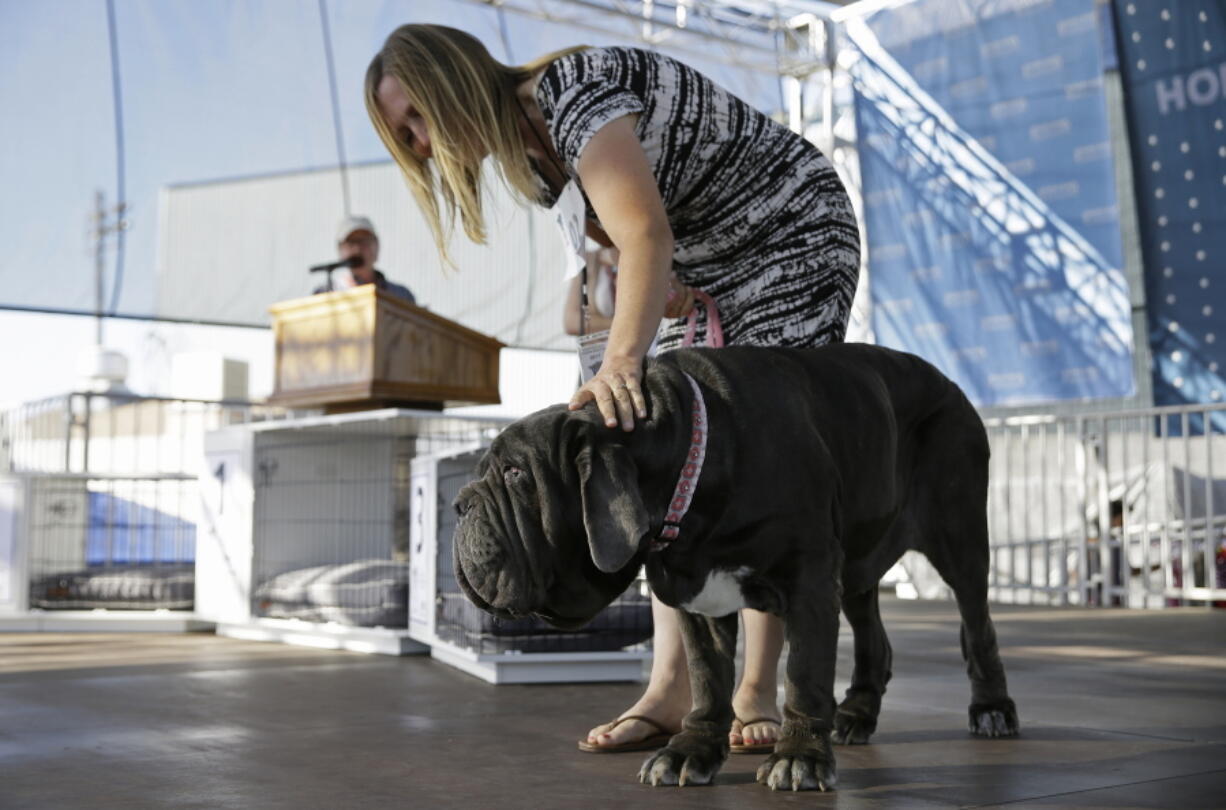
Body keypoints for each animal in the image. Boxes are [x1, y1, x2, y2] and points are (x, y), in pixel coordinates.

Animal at [451, 343, 1015, 789]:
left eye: (516, 473)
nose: (460, 503)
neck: (690, 460)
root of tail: (950, 383)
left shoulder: (809, 579)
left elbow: (804, 671)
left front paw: (799, 758)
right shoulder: (694, 593)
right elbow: (706, 676)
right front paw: (690, 752)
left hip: (959, 536)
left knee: (977, 624)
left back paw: (991, 709)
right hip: (859, 562)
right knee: (873, 637)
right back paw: (856, 714)